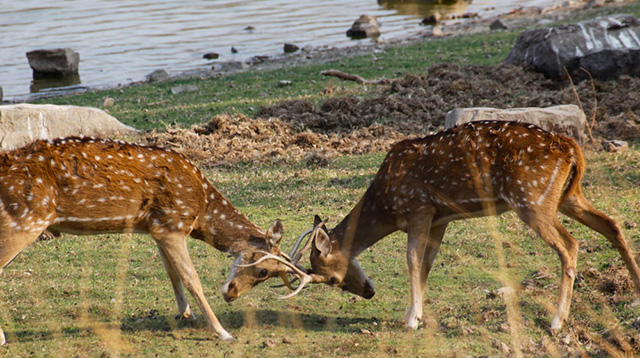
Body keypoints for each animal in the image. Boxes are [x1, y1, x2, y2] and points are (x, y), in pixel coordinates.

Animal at [0, 136, 308, 344]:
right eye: (264, 270)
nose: (230, 294)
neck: (201, 209)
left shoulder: (156, 227)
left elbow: (172, 274)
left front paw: (186, 314)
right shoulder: (173, 223)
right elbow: (191, 277)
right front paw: (222, 332)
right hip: (23, 219)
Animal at [252, 121, 640, 332]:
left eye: (331, 279)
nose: (368, 292)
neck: (385, 202)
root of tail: (572, 148)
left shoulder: (418, 209)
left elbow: (411, 261)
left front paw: (411, 320)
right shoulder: (440, 219)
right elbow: (426, 264)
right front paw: (414, 314)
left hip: (531, 199)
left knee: (570, 245)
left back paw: (558, 321)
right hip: (566, 195)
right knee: (612, 224)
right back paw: (635, 288)